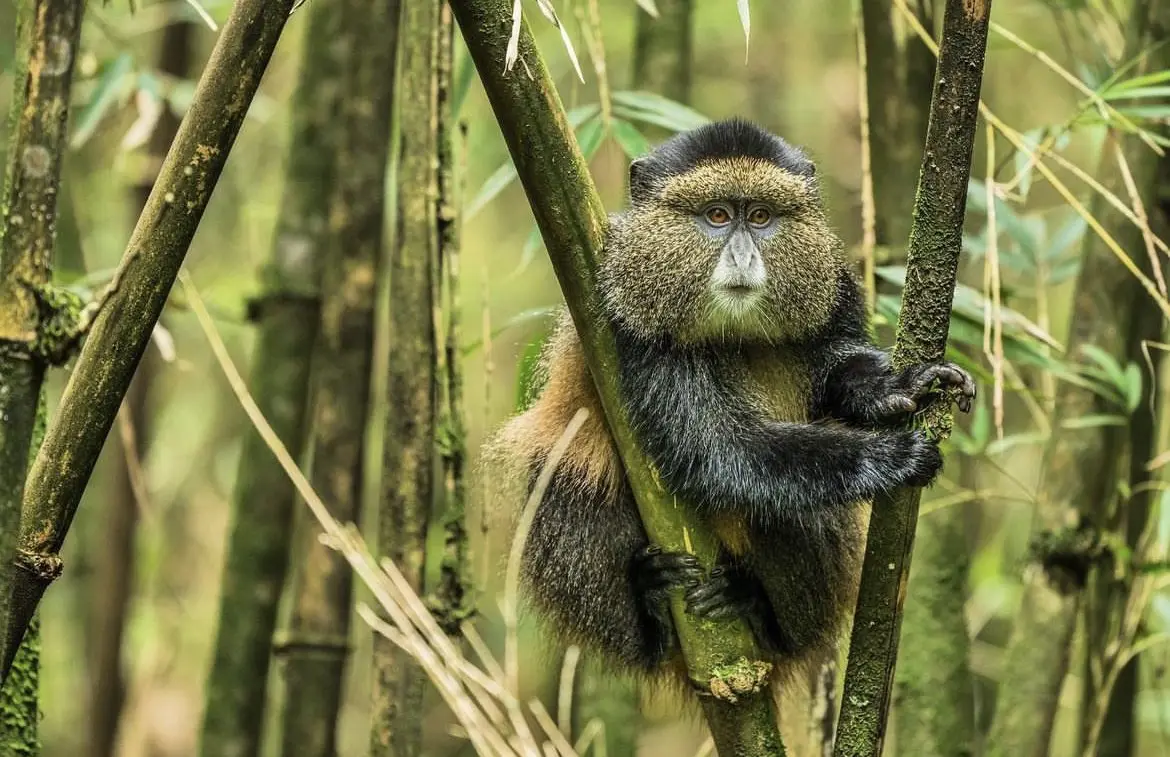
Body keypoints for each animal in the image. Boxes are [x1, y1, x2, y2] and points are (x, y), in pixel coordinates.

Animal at [488, 117, 975, 698]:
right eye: (717, 216)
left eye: (761, 217)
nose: (743, 257)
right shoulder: (630, 330)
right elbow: (720, 449)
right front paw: (891, 458)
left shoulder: (835, 291)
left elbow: (837, 372)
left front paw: (900, 383)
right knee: (564, 480)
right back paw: (652, 609)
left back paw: (761, 613)